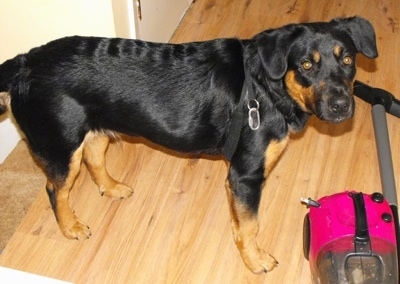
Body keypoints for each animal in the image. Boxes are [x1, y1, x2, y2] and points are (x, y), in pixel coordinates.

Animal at [0, 17, 376, 272]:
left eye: (347, 59)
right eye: (306, 65)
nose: (342, 106)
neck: (267, 87)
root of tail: (24, 63)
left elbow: (241, 222)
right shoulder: (246, 175)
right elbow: (250, 224)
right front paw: (255, 261)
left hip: (93, 130)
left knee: (93, 159)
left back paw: (113, 187)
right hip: (61, 146)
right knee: (55, 190)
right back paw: (71, 227)